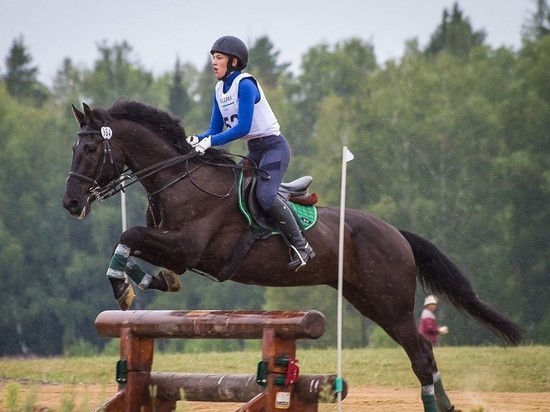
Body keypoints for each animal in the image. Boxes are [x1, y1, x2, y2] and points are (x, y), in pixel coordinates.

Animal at [62, 100, 524, 412]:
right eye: (74, 149)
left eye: (90, 150)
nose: (71, 203)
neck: (178, 179)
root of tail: (397, 234)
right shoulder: (175, 251)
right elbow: (135, 247)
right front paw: (145, 282)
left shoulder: (188, 249)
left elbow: (127, 235)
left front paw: (124, 288)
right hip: (367, 299)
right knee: (421, 354)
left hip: (388, 305)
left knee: (422, 355)